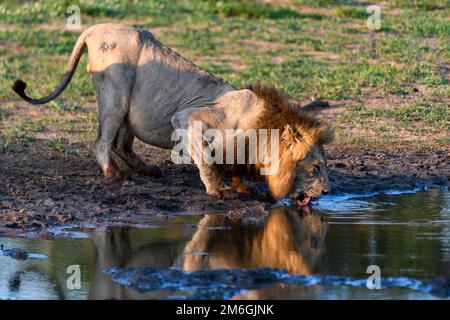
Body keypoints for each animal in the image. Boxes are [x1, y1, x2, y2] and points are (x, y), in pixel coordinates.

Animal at [12, 23, 332, 204]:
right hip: (115, 95)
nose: (328, 193)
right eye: (316, 167)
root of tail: (94, 28)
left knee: (120, 144)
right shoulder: (187, 118)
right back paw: (114, 174)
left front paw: (241, 188)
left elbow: (232, 167)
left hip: (129, 105)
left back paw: (149, 171)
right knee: (103, 141)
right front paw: (219, 191)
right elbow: (207, 162)